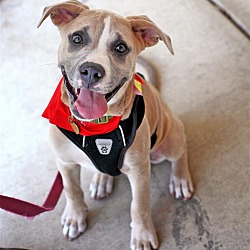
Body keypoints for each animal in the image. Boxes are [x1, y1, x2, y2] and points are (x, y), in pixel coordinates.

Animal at [37, 0, 193, 249]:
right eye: (77, 38)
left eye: (120, 48)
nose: (91, 71)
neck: (94, 127)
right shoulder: (64, 162)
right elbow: (72, 190)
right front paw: (74, 218)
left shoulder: (140, 172)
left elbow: (139, 206)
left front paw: (142, 235)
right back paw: (102, 179)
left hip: (169, 138)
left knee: (180, 150)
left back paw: (179, 179)